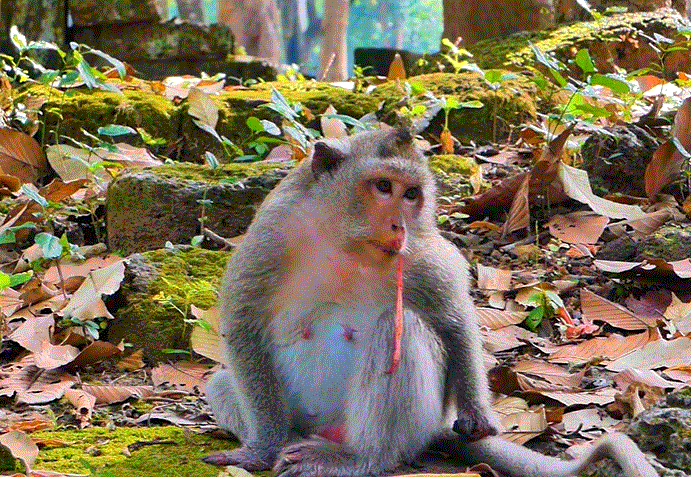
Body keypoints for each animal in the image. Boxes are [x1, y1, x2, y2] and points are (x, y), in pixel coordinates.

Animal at [203, 127, 657, 477]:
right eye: (383, 186)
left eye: (411, 195)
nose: (398, 225)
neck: (345, 240)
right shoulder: (271, 234)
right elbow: (242, 325)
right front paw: (263, 449)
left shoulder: (419, 251)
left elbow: (451, 320)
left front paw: (476, 413)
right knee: (223, 383)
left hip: (413, 424)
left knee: (397, 332)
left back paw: (361, 458)